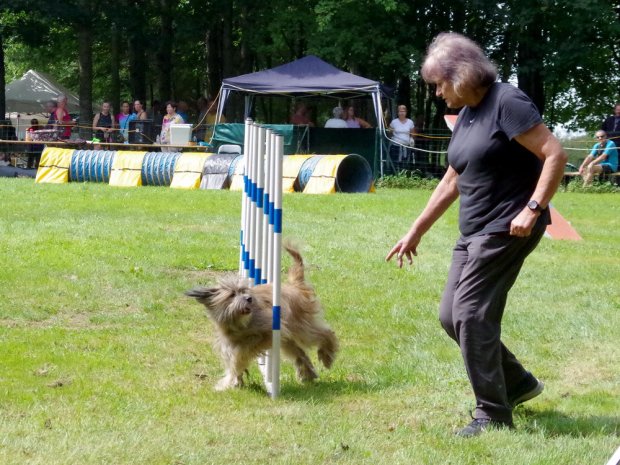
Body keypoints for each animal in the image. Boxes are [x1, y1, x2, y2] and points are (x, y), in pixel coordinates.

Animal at [185, 245, 340, 390]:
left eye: (243, 291)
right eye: (232, 294)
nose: (249, 298)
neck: (239, 325)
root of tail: (295, 286)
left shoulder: (267, 332)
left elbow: (240, 355)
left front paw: (230, 380)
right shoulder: (229, 344)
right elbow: (233, 360)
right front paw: (236, 380)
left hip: (300, 326)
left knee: (325, 333)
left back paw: (327, 357)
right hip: (287, 339)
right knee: (300, 353)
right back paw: (308, 374)